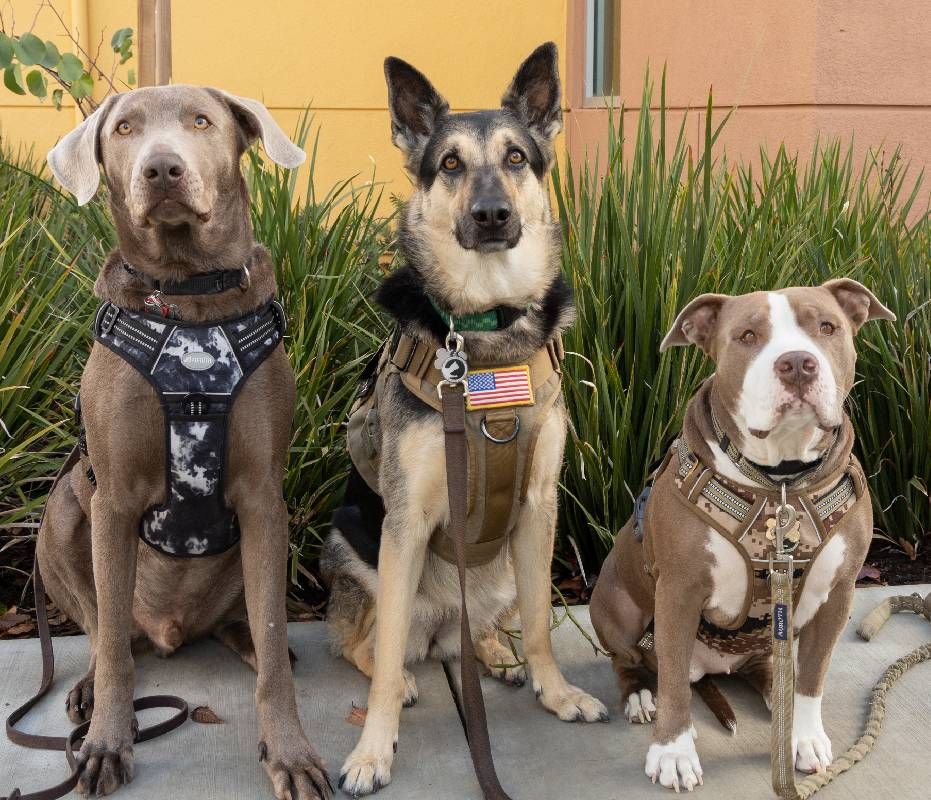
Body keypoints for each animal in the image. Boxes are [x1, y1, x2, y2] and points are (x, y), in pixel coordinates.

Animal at [43, 87, 334, 800]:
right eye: (124, 129)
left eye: (202, 121)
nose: (162, 169)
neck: (187, 296)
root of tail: (168, 629)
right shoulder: (113, 499)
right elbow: (112, 649)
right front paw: (105, 745)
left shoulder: (263, 499)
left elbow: (273, 643)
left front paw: (289, 753)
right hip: (61, 513)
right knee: (107, 631)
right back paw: (91, 688)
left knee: (247, 619)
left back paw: (251, 640)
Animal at [322, 43, 612, 792]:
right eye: (449, 163)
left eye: (515, 157)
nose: (490, 215)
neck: (484, 333)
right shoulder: (404, 522)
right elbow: (382, 659)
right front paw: (372, 749)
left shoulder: (539, 504)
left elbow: (539, 622)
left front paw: (553, 689)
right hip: (352, 543)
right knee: (367, 642)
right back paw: (403, 678)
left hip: (506, 560)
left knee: (484, 623)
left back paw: (494, 653)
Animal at [588, 280, 896, 788]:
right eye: (748, 336)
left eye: (826, 326)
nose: (797, 363)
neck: (780, 480)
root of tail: (713, 667)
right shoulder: (678, 592)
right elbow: (673, 682)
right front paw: (672, 752)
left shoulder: (839, 592)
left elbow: (812, 676)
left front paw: (803, 737)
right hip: (616, 606)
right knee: (636, 662)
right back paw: (640, 696)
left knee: (770, 666)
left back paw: (775, 696)